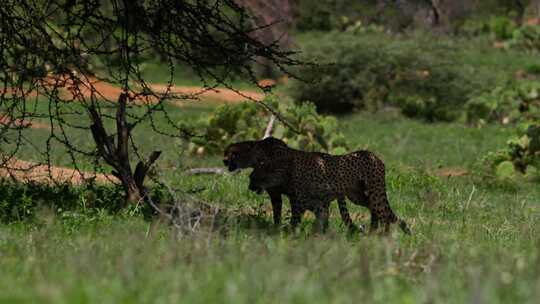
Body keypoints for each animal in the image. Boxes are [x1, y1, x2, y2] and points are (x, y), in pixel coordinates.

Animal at [224, 137, 410, 234]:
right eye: (226, 153)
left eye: (232, 154)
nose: (224, 161)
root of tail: (373, 155)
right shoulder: (291, 196)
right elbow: (280, 215)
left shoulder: (296, 198)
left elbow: (293, 218)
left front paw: (287, 233)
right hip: (356, 195)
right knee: (375, 210)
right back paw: (374, 231)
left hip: (374, 192)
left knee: (384, 213)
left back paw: (384, 236)